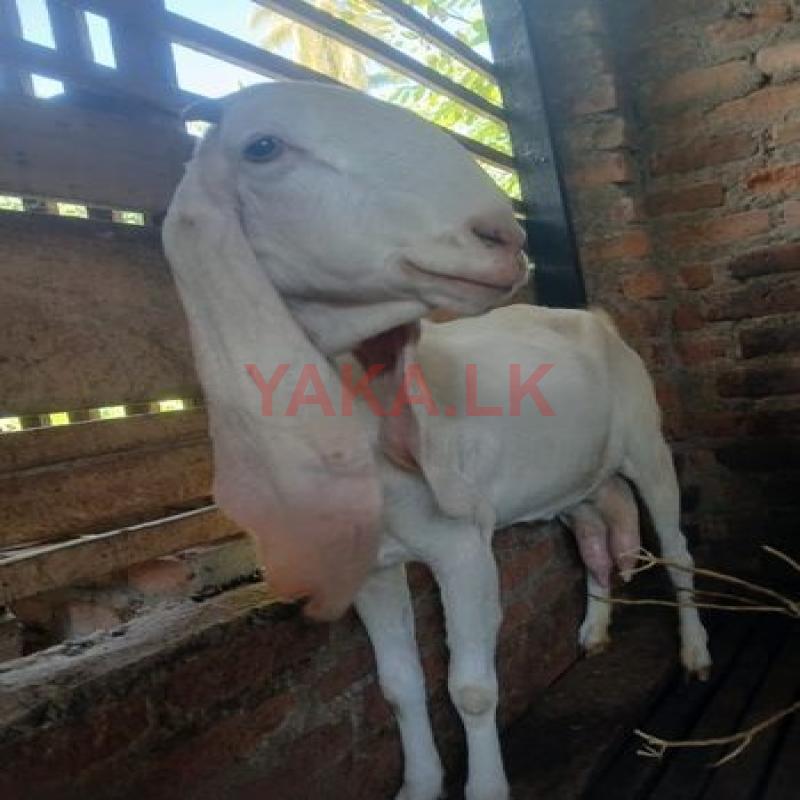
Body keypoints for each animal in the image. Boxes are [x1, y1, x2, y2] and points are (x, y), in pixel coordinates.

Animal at [164, 83, 711, 800]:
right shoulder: (373, 566)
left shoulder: (461, 543)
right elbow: (398, 688)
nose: (501, 236)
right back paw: (593, 631)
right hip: (572, 481)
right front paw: (419, 785)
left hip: (647, 444)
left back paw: (696, 650)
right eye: (261, 148)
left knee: (675, 547)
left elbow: (472, 690)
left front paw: (485, 787)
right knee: (595, 539)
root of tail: (596, 317)